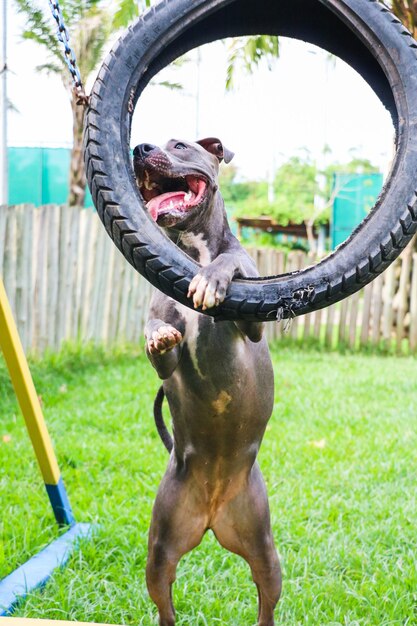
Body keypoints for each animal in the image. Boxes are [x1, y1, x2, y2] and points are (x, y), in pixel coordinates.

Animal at [132, 138, 282, 624]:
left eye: (180, 144)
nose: (140, 148)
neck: (192, 251)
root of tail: (214, 513)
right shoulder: (164, 357)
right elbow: (158, 338)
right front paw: (157, 334)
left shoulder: (252, 325)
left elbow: (232, 262)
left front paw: (213, 280)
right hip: (160, 552)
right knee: (165, 606)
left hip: (265, 553)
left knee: (266, 605)